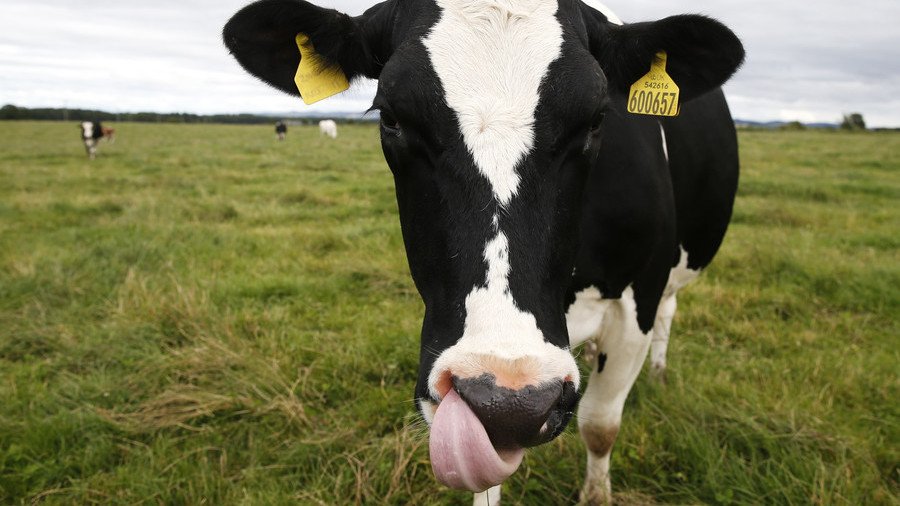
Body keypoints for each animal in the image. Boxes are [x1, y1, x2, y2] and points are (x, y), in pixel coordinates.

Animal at [225, 0, 744, 502]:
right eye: (391, 117)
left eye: (597, 119)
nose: (513, 401)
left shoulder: (638, 301)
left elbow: (600, 425)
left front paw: (596, 493)